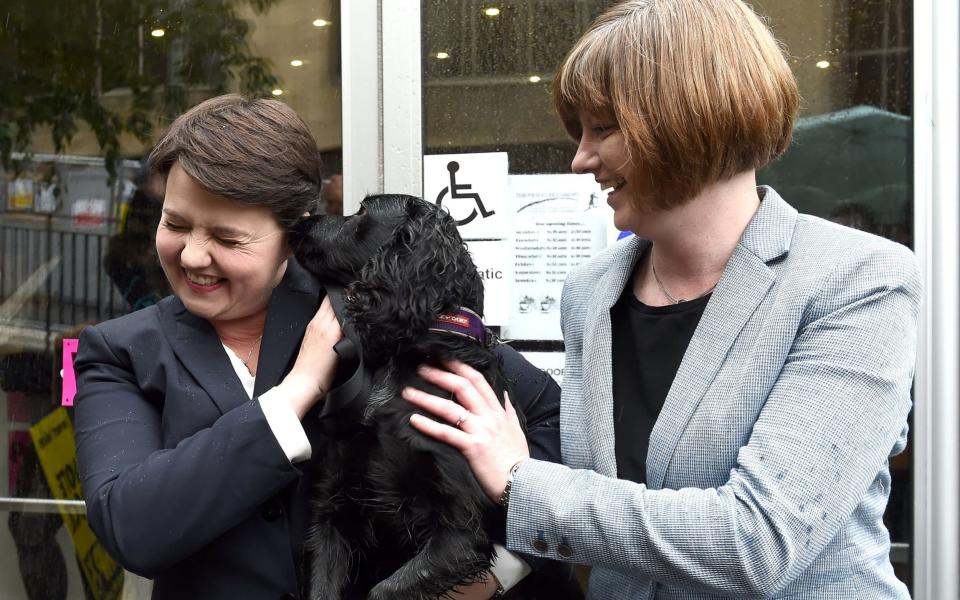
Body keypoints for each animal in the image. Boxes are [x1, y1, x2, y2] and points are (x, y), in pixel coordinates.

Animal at [292, 195, 516, 596]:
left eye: (363, 213)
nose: (299, 222)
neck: (398, 359)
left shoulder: (462, 531)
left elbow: (384, 590)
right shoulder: (331, 508)